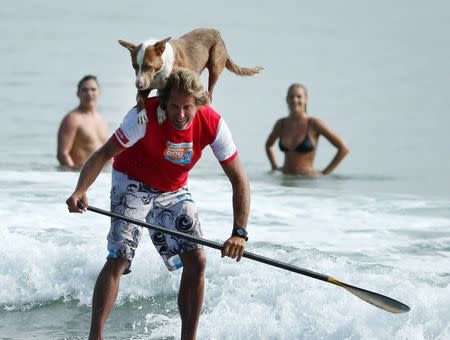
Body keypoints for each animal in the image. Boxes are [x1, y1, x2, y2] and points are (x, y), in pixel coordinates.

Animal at [118, 27, 262, 123]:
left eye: (148, 66)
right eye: (134, 66)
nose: (138, 84)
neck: (158, 72)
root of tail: (217, 33)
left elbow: (164, 98)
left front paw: (161, 111)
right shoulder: (146, 83)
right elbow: (139, 98)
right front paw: (141, 113)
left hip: (215, 64)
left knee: (210, 91)